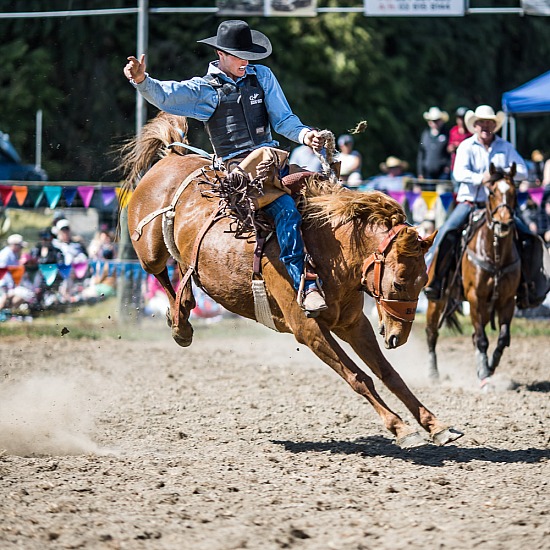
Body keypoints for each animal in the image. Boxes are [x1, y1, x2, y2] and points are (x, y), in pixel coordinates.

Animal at [119, 114, 466, 450]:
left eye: (424, 281)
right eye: (398, 283)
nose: (398, 336)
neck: (328, 251)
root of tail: (171, 157)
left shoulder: (354, 323)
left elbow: (389, 374)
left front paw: (436, 426)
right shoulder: (308, 329)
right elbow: (359, 377)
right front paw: (402, 428)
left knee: (185, 270)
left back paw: (183, 310)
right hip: (149, 250)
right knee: (161, 272)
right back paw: (180, 326)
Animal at [430, 166, 524, 390]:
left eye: (514, 193)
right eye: (491, 192)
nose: (503, 223)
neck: (495, 254)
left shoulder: (507, 300)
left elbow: (503, 338)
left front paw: (490, 366)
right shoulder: (475, 298)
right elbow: (482, 339)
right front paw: (485, 377)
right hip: (436, 301)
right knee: (432, 333)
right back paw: (433, 373)